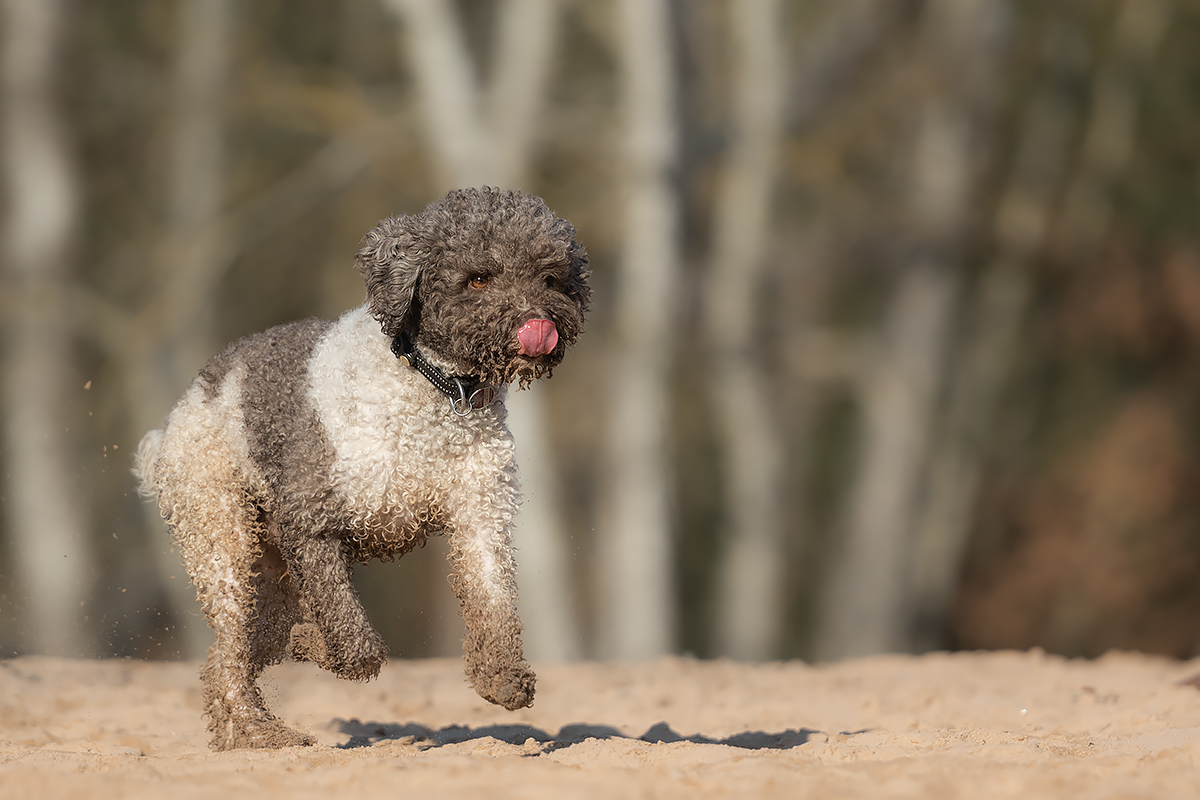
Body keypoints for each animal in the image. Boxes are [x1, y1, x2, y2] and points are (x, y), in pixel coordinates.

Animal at [136, 188, 590, 753]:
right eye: (478, 278)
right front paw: (313, 642)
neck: (436, 389)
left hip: (272, 578)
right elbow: (352, 639)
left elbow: (492, 596)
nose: (539, 323)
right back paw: (262, 731)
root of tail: (173, 424)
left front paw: (502, 678)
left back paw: (242, 733)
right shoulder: (311, 522)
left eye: (550, 278)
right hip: (223, 538)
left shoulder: (481, 512)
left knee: (226, 658)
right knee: (232, 651)